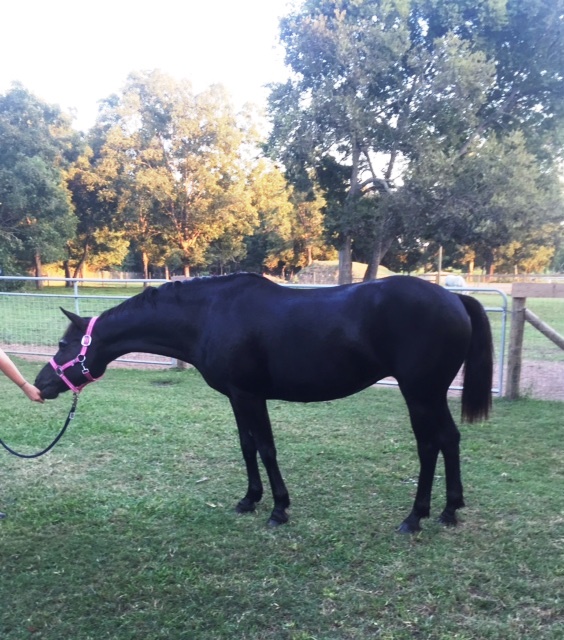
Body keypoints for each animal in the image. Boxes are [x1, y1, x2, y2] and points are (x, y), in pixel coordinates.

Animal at [34, 273, 493, 534]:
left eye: (62, 345)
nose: (41, 384)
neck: (210, 315)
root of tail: (455, 299)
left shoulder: (250, 395)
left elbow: (267, 448)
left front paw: (278, 509)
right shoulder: (238, 398)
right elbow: (248, 446)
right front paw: (250, 500)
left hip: (419, 392)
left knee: (429, 445)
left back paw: (415, 517)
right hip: (431, 394)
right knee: (450, 439)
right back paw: (450, 510)